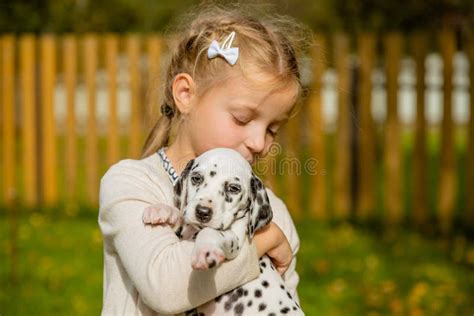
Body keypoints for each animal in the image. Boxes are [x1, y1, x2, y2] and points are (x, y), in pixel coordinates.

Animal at [143, 149, 304, 316]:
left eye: (233, 188)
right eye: (196, 178)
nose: (202, 212)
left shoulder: (235, 240)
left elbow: (209, 232)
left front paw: (204, 252)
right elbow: (181, 215)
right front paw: (161, 210)